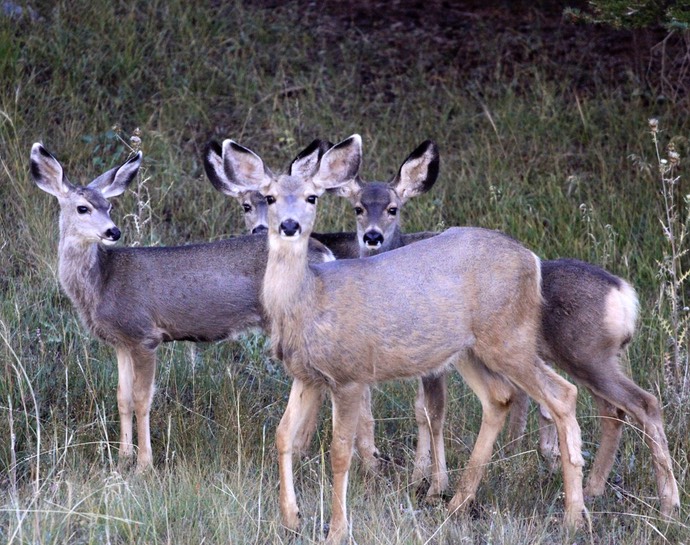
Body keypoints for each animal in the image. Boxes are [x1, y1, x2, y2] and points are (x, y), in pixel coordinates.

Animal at [30, 142, 334, 470]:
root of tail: (324, 252)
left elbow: (142, 399)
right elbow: (122, 397)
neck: (102, 283)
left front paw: (144, 463)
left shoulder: (144, 334)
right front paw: (123, 457)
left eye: (108, 207)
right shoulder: (121, 341)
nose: (113, 231)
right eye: (83, 208)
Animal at [202, 134, 584, 540]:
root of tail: (532, 259)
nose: (289, 226)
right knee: (500, 397)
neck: (311, 299)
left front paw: (336, 530)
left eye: (312, 197)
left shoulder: (349, 374)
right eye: (270, 197)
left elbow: (340, 450)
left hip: (509, 335)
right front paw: (291, 519)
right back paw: (457, 501)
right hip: (468, 349)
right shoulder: (305, 374)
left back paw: (574, 515)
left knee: (563, 393)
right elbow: (282, 434)